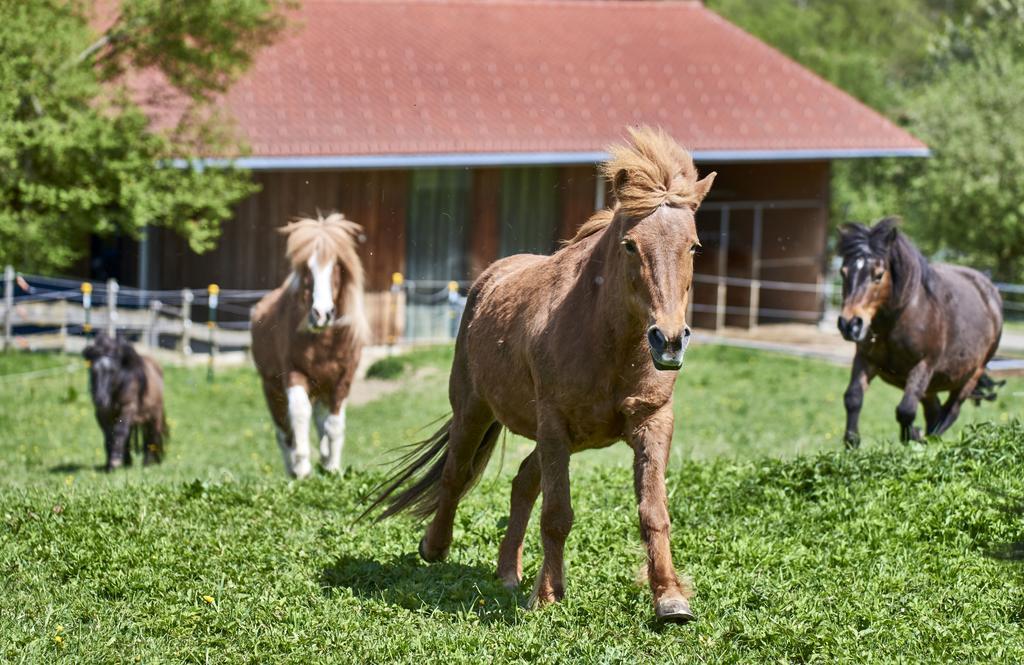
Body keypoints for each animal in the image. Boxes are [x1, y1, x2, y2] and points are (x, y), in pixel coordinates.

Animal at [82, 334, 167, 469]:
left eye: (112, 371)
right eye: (92, 370)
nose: (100, 399)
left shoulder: (128, 407)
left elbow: (120, 431)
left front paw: (115, 460)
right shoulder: (102, 413)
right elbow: (108, 434)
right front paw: (110, 463)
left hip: (154, 415)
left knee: (152, 435)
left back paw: (148, 462)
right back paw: (127, 461)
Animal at [251, 213, 368, 477]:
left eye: (336, 266)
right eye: (307, 269)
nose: (321, 314)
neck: (324, 342)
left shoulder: (342, 380)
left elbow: (334, 425)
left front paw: (332, 466)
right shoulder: (294, 374)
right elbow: (299, 415)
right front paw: (303, 468)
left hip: (321, 389)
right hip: (272, 389)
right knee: (283, 432)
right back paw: (293, 469)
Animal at [366, 128, 712, 622]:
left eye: (694, 246)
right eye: (630, 244)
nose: (668, 339)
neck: (606, 341)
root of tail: (487, 281)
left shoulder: (652, 421)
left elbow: (653, 512)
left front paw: (669, 598)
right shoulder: (554, 423)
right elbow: (558, 515)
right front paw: (548, 596)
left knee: (522, 482)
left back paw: (508, 573)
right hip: (475, 411)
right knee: (456, 474)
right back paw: (435, 547)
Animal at [835, 218, 1003, 446]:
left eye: (878, 275)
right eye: (843, 272)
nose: (850, 324)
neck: (897, 320)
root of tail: (991, 294)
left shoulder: (924, 364)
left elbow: (905, 410)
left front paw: (911, 439)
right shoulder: (865, 359)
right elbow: (853, 398)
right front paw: (852, 442)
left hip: (970, 376)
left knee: (949, 412)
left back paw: (929, 439)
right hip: (930, 386)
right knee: (934, 411)